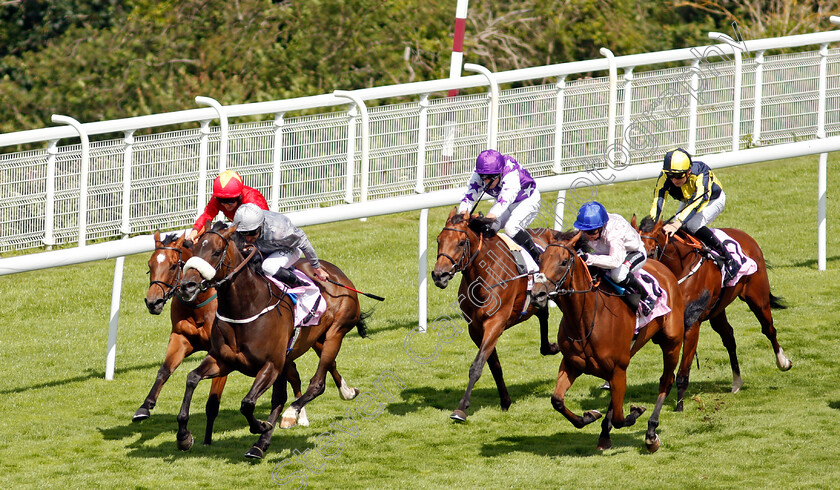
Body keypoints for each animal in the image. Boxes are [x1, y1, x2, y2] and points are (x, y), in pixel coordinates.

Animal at [177, 226, 364, 460]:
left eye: (216, 251)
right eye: (192, 249)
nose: (187, 285)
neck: (247, 307)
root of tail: (338, 274)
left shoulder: (271, 365)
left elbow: (248, 403)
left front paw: (261, 426)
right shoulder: (222, 361)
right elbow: (191, 378)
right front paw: (184, 436)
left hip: (335, 333)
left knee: (317, 383)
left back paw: (291, 414)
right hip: (314, 342)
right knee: (320, 371)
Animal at [434, 207, 556, 422]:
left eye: (460, 242)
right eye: (439, 240)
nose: (439, 275)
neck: (483, 275)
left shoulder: (495, 322)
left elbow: (477, 366)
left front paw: (461, 409)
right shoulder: (475, 328)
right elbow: (493, 365)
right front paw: (505, 401)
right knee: (543, 314)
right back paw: (549, 347)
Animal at [536, 232, 684, 454]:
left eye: (563, 262)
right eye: (539, 260)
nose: (537, 294)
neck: (585, 320)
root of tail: (664, 269)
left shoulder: (617, 368)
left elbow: (621, 419)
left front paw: (636, 411)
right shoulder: (572, 364)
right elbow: (557, 400)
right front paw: (588, 416)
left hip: (671, 343)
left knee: (666, 381)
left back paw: (651, 433)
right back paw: (605, 435)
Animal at [640, 216, 792, 412]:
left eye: (651, 252)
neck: (681, 267)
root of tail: (747, 237)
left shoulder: (692, 325)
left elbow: (683, 371)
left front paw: (679, 406)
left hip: (758, 298)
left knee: (769, 329)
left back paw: (783, 362)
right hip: (718, 310)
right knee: (729, 337)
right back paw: (737, 381)